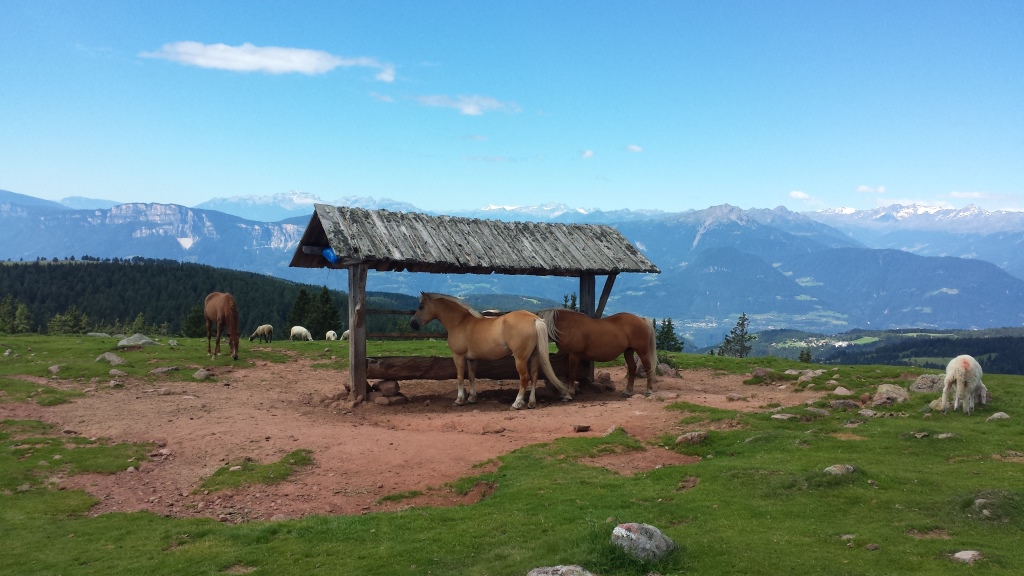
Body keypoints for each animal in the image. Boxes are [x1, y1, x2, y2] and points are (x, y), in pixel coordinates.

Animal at [409, 291, 577, 407]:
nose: (413, 324)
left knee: (524, 378)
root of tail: (534, 319)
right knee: (535, 377)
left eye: (421, 306)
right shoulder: (471, 359)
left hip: (520, 359)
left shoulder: (459, 356)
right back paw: (531, 403)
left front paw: (459, 399)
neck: (460, 322)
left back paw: (517, 403)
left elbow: (460, 377)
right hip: (534, 356)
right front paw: (472, 398)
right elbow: (471, 376)